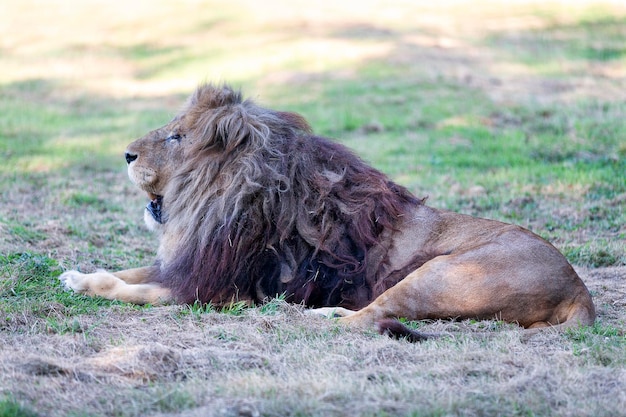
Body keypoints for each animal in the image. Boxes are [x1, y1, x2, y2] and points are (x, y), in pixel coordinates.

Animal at [59, 83, 596, 340]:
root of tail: (579, 289)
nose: (126, 154)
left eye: (175, 137)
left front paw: (88, 283)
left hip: (441, 274)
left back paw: (308, 318)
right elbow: (130, 270)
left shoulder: (213, 290)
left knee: (373, 316)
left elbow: (129, 287)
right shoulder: (188, 264)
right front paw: (75, 273)